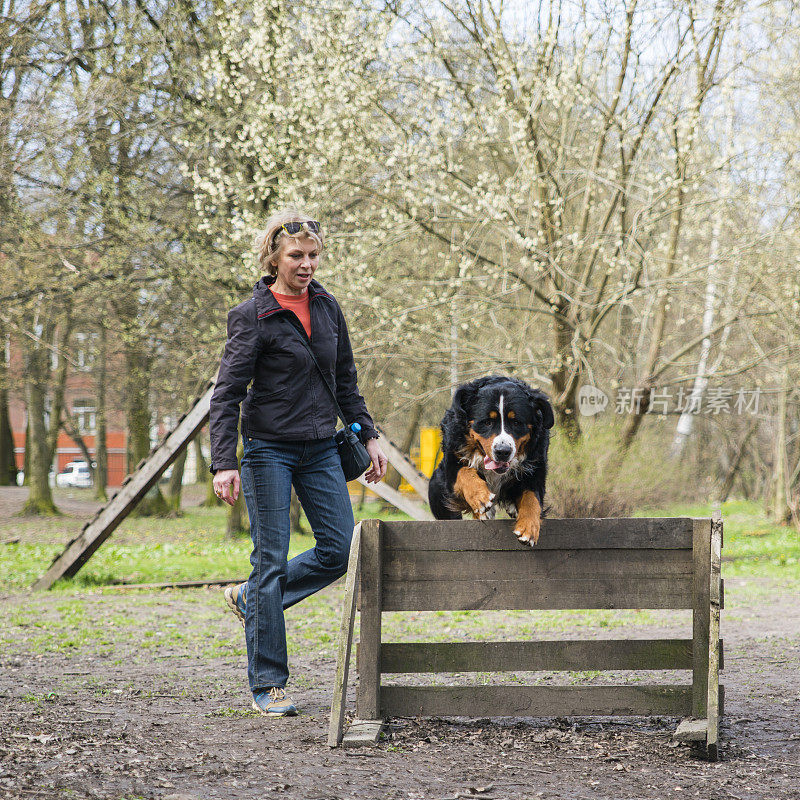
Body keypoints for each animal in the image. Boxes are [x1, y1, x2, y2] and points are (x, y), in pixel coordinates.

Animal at [428, 376, 552, 544]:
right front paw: (481, 497)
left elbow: (532, 498)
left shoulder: (536, 466)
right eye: (487, 422)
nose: (503, 451)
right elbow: (464, 472)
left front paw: (528, 529)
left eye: (516, 422)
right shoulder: (453, 457)